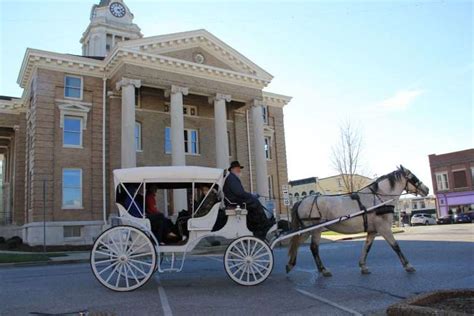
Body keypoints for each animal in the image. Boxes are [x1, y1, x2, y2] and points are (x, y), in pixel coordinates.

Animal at [286, 165, 430, 276]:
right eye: (413, 177)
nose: (427, 189)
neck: (379, 198)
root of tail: (301, 201)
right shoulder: (384, 228)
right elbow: (395, 246)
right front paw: (408, 266)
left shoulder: (373, 231)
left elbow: (367, 247)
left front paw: (363, 266)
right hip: (314, 229)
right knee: (313, 247)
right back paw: (322, 270)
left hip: (308, 230)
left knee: (297, 244)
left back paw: (291, 265)